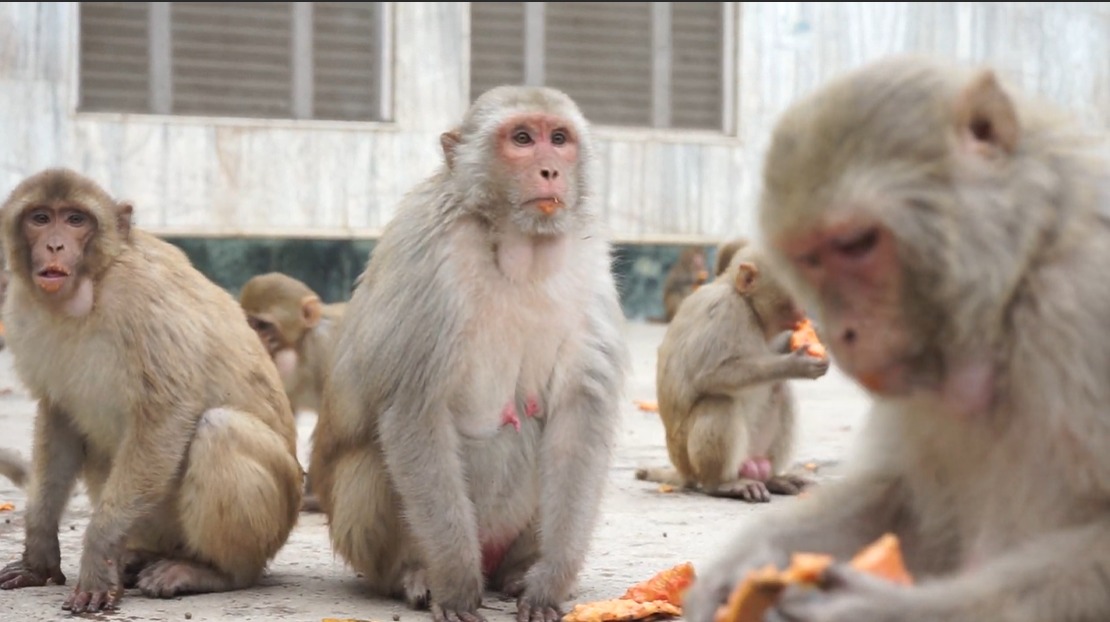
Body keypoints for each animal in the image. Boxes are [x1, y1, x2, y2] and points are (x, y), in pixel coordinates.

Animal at [0, 169, 302, 613]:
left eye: (75, 219)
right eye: (40, 218)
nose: (54, 245)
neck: (94, 284)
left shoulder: (142, 299)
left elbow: (165, 414)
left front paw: (98, 556)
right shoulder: (21, 310)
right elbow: (59, 417)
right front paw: (38, 557)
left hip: (278, 517)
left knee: (220, 430)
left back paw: (213, 572)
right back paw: (141, 556)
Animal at [309, 86, 629, 622]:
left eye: (558, 139)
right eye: (522, 139)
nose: (550, 170)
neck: (514, 244)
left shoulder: (587, 265)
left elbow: (578, 415)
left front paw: (548, 583)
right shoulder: (429, 259)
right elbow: (414, 411)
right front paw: (456, 588)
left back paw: (517, 571)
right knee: (373, 460)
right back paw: (414, 575)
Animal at [635, 246, 828, 502]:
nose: (805, 308)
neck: (749, 306)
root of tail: (681, 470)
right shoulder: (724, 311)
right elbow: (710, 374)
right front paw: (797, 364)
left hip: (753, 452)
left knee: (781, 389)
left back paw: (772, 479)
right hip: (688, 459)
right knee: (719, 401)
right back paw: (721, 484)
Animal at [682, 55, 1110, 622]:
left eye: (856, 243)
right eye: (810, 259)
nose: (842, 332)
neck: (1013, 289)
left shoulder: (1081, 308)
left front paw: (871, 608)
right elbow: (908, 502)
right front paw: (752, 559)